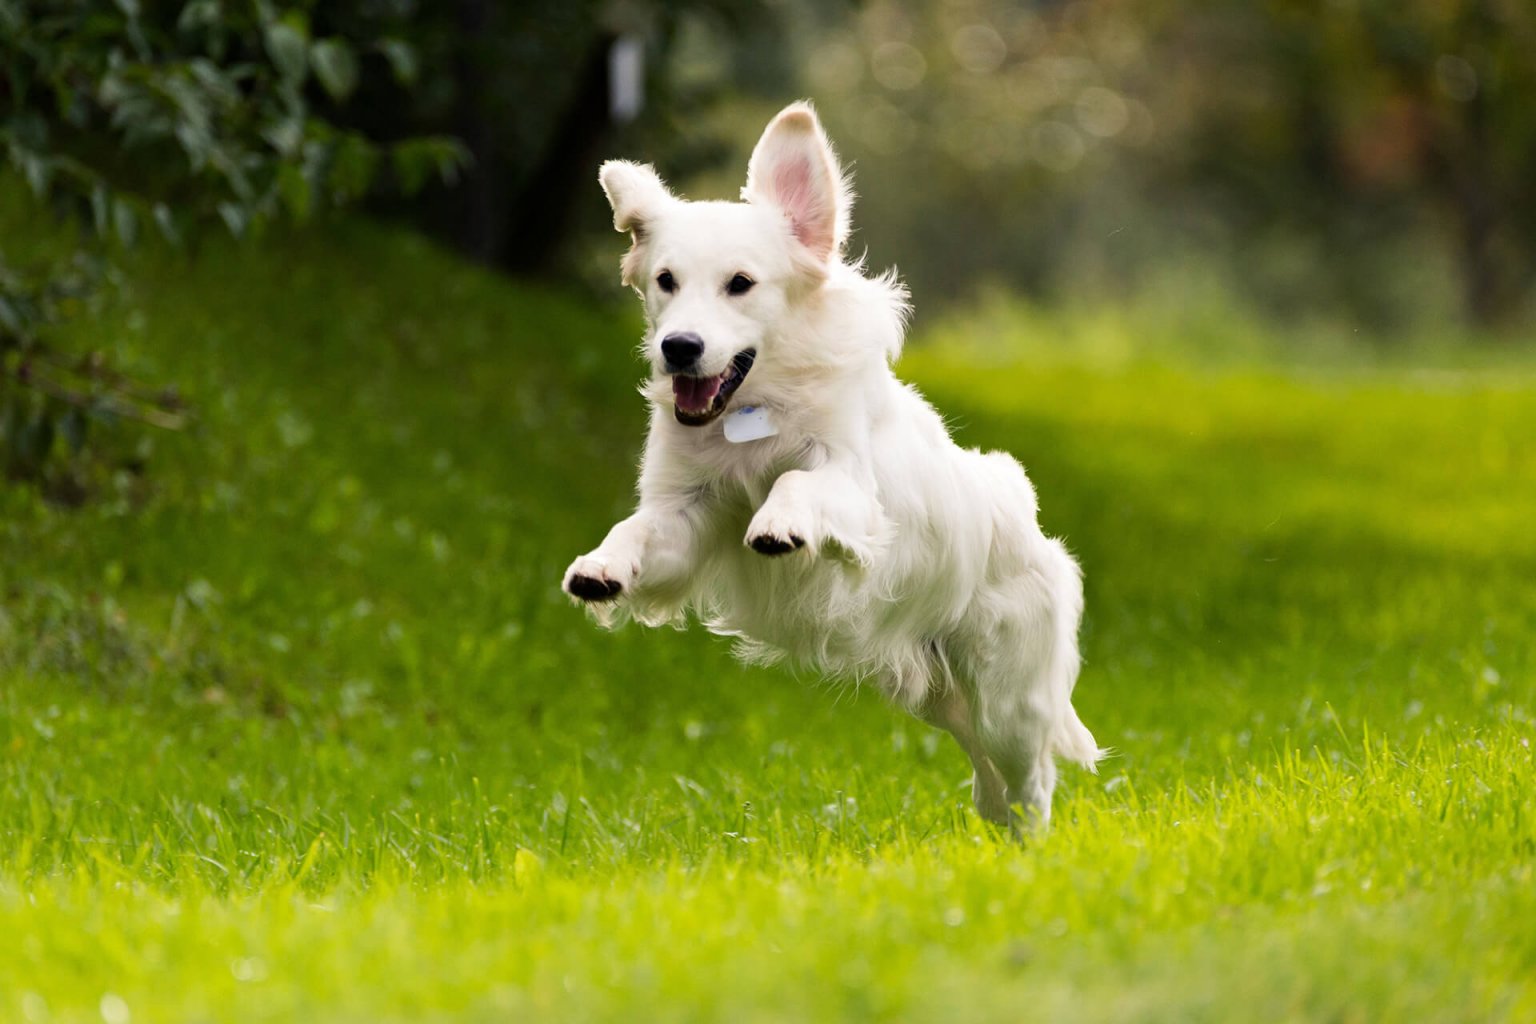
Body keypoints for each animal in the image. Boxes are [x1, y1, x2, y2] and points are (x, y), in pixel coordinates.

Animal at [565, 99, 1105, 829]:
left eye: (741, 284)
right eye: (665, 281)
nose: (679, 347)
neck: (756, 410)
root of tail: (1035, 529)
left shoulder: (853, 490)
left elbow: (799, 480)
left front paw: (779, 525)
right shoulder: (686, 514)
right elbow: (639, 530)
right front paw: (601, 567)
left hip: (1008, 701)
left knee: (1033, 782)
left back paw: (1031, 839)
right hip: (935, 696)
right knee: (985, 773)